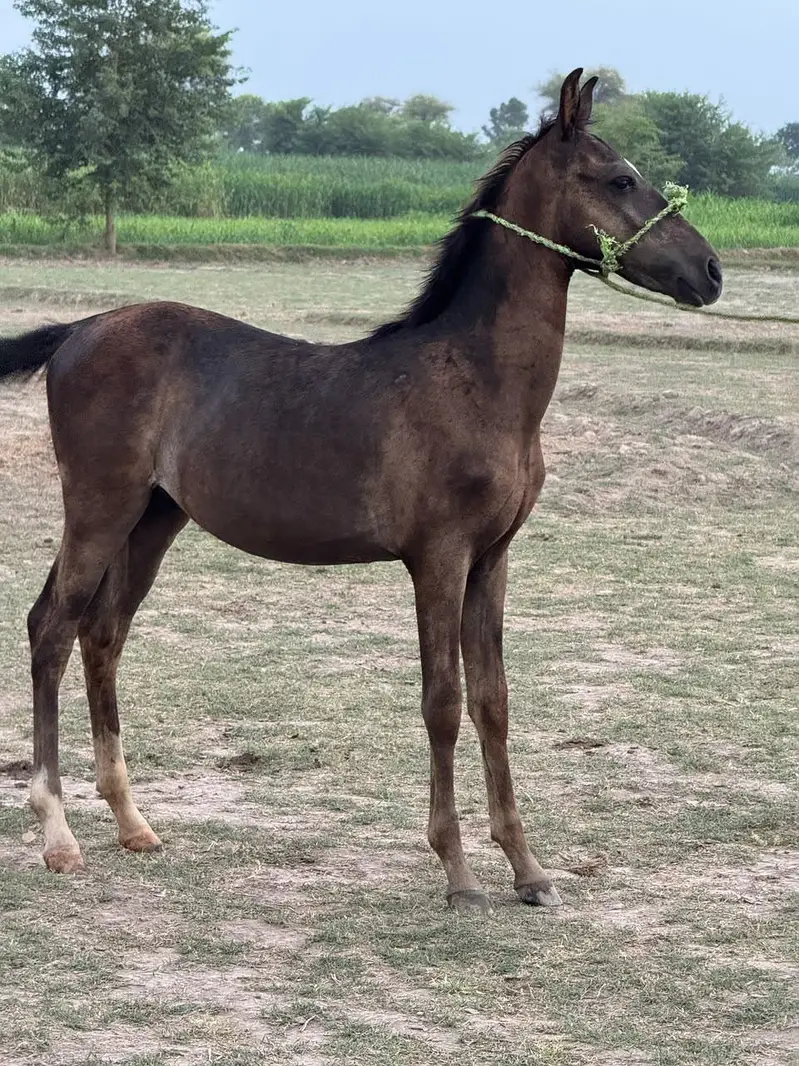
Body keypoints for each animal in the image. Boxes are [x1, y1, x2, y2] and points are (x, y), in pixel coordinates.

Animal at [0, 70, 722, 913]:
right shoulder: (438, 557)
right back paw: (58, 835)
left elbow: (493, 701)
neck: (475, 380)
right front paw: (458, 875)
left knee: (102, 632)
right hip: (98, 508)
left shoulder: (493, 559)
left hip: (152, 520)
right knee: (52, 628)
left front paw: (528, 870)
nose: (710, 272)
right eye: (619, 179)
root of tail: (78, 329)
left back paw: (132, 822)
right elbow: (442, 702)